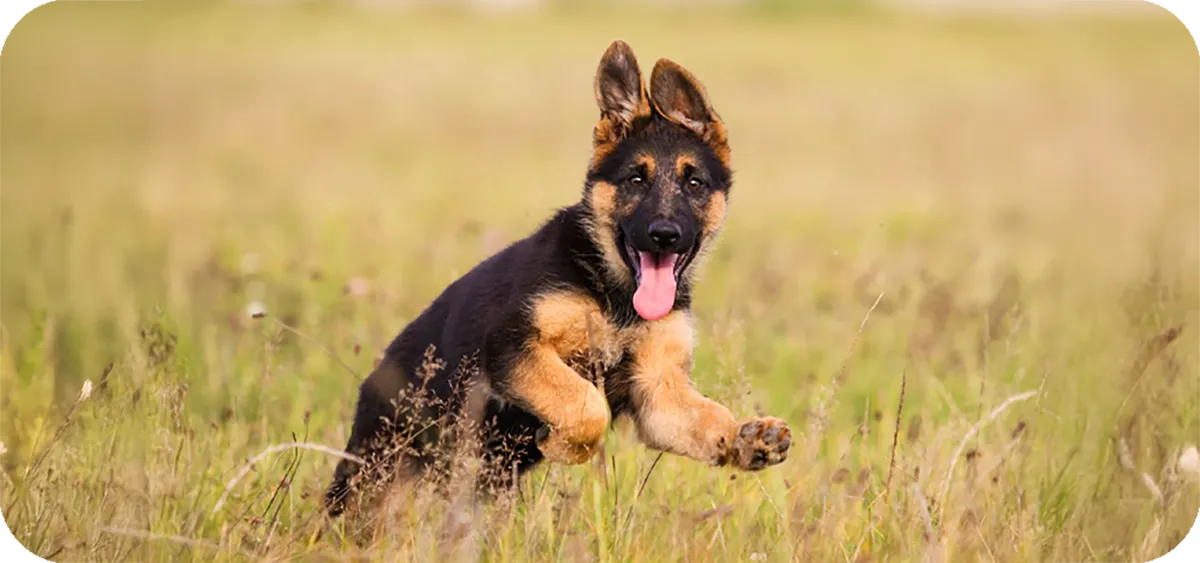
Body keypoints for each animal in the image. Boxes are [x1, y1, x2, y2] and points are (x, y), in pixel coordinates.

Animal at [324, 40, 791, 519]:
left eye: (694, 183)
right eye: (635, 179)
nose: (664, 234)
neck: (615, 295)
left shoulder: (658, 392)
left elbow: (708, 417)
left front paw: (747, 438)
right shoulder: (512, 346)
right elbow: (586, 405)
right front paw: (563, 445)